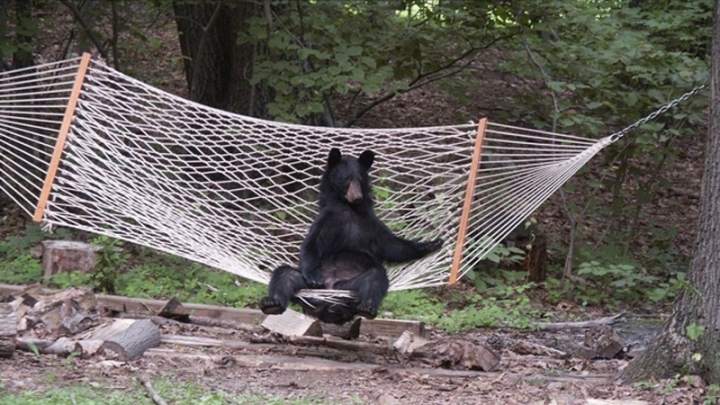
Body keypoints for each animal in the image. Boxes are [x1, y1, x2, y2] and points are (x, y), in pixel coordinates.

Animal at [256, 147, 442, 324]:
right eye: (346, 179)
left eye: (359, 179)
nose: (357, 196)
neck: (349, 209)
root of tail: (328, 302)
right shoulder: (329, 218)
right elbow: (311, 244)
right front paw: (314, 275)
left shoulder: (369, 222)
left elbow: (392, 245)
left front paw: (432, 243)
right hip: (309, 289)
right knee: (284, 274)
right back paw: (272, 303)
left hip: (348, 287)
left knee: (375, 277)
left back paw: (367, 307)